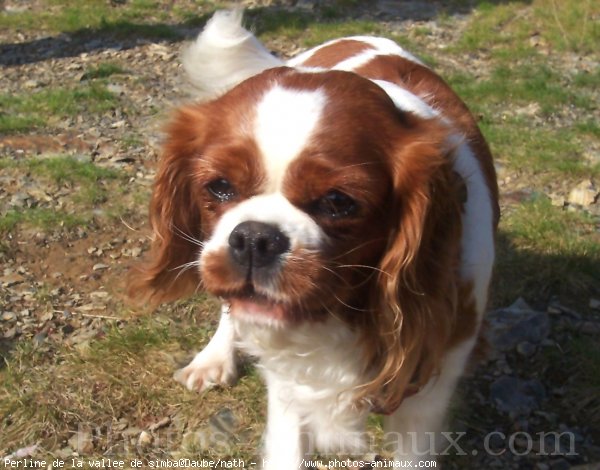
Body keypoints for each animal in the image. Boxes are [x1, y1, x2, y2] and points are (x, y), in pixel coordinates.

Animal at [130, 9, 496, 468]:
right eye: (220, 187)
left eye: (338, 202)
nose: (255, 237)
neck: (342, 315)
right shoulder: (288, 385)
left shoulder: (427, 392)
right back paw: (213, 357)